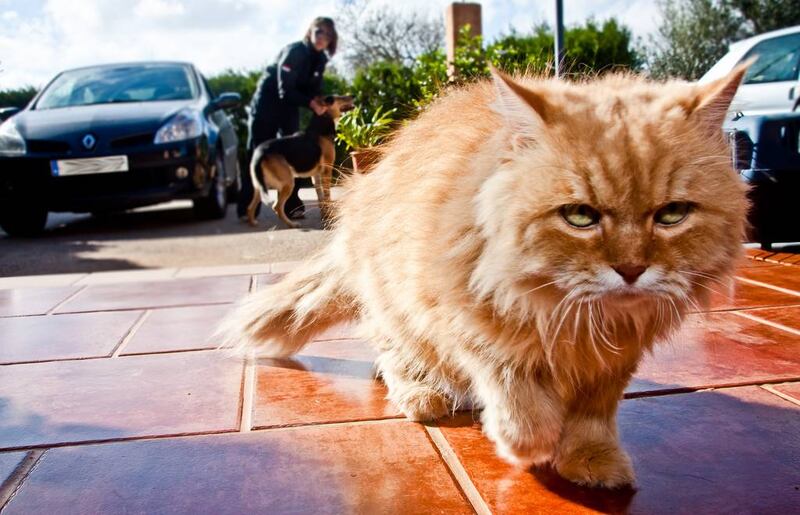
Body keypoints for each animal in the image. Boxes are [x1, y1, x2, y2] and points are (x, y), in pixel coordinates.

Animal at [246, 95, 355, 228]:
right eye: (338, 97)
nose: (352, 96)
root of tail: (260, 152)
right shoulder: (326, 171)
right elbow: (327, 196)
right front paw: (330, 216)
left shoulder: (316, 175)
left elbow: (320, 198)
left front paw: (324, 216)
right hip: (288, 182)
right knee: (277, 207)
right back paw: (292, 224)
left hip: (260, 185)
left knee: (250, 207)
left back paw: (252, 223)